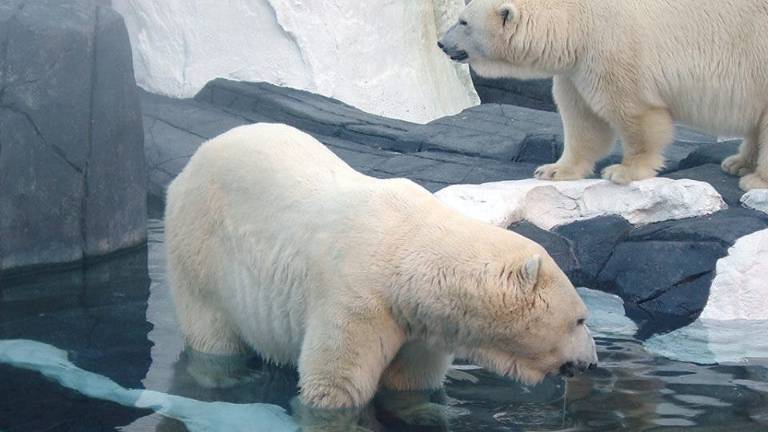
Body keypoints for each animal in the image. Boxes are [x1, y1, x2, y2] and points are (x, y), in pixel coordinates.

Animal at [164, 123, 597, 429]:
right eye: (579, 319)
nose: (591, 362)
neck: (407, 256)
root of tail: (192, 163)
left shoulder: (420, 325)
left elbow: (410, 383)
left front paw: (424, 413)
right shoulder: (357, 300)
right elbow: (336, 386)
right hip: (200, 251)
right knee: (212, 335)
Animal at [438, 0, 768, 191]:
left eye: (463, 21)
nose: (441, 42)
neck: (578, 20)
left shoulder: (613, 48)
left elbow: (633, 112)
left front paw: (624, 171)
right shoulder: (576, 67)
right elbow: (583, 121)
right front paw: (553, 170)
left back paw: (756, 179)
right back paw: (738, 162)